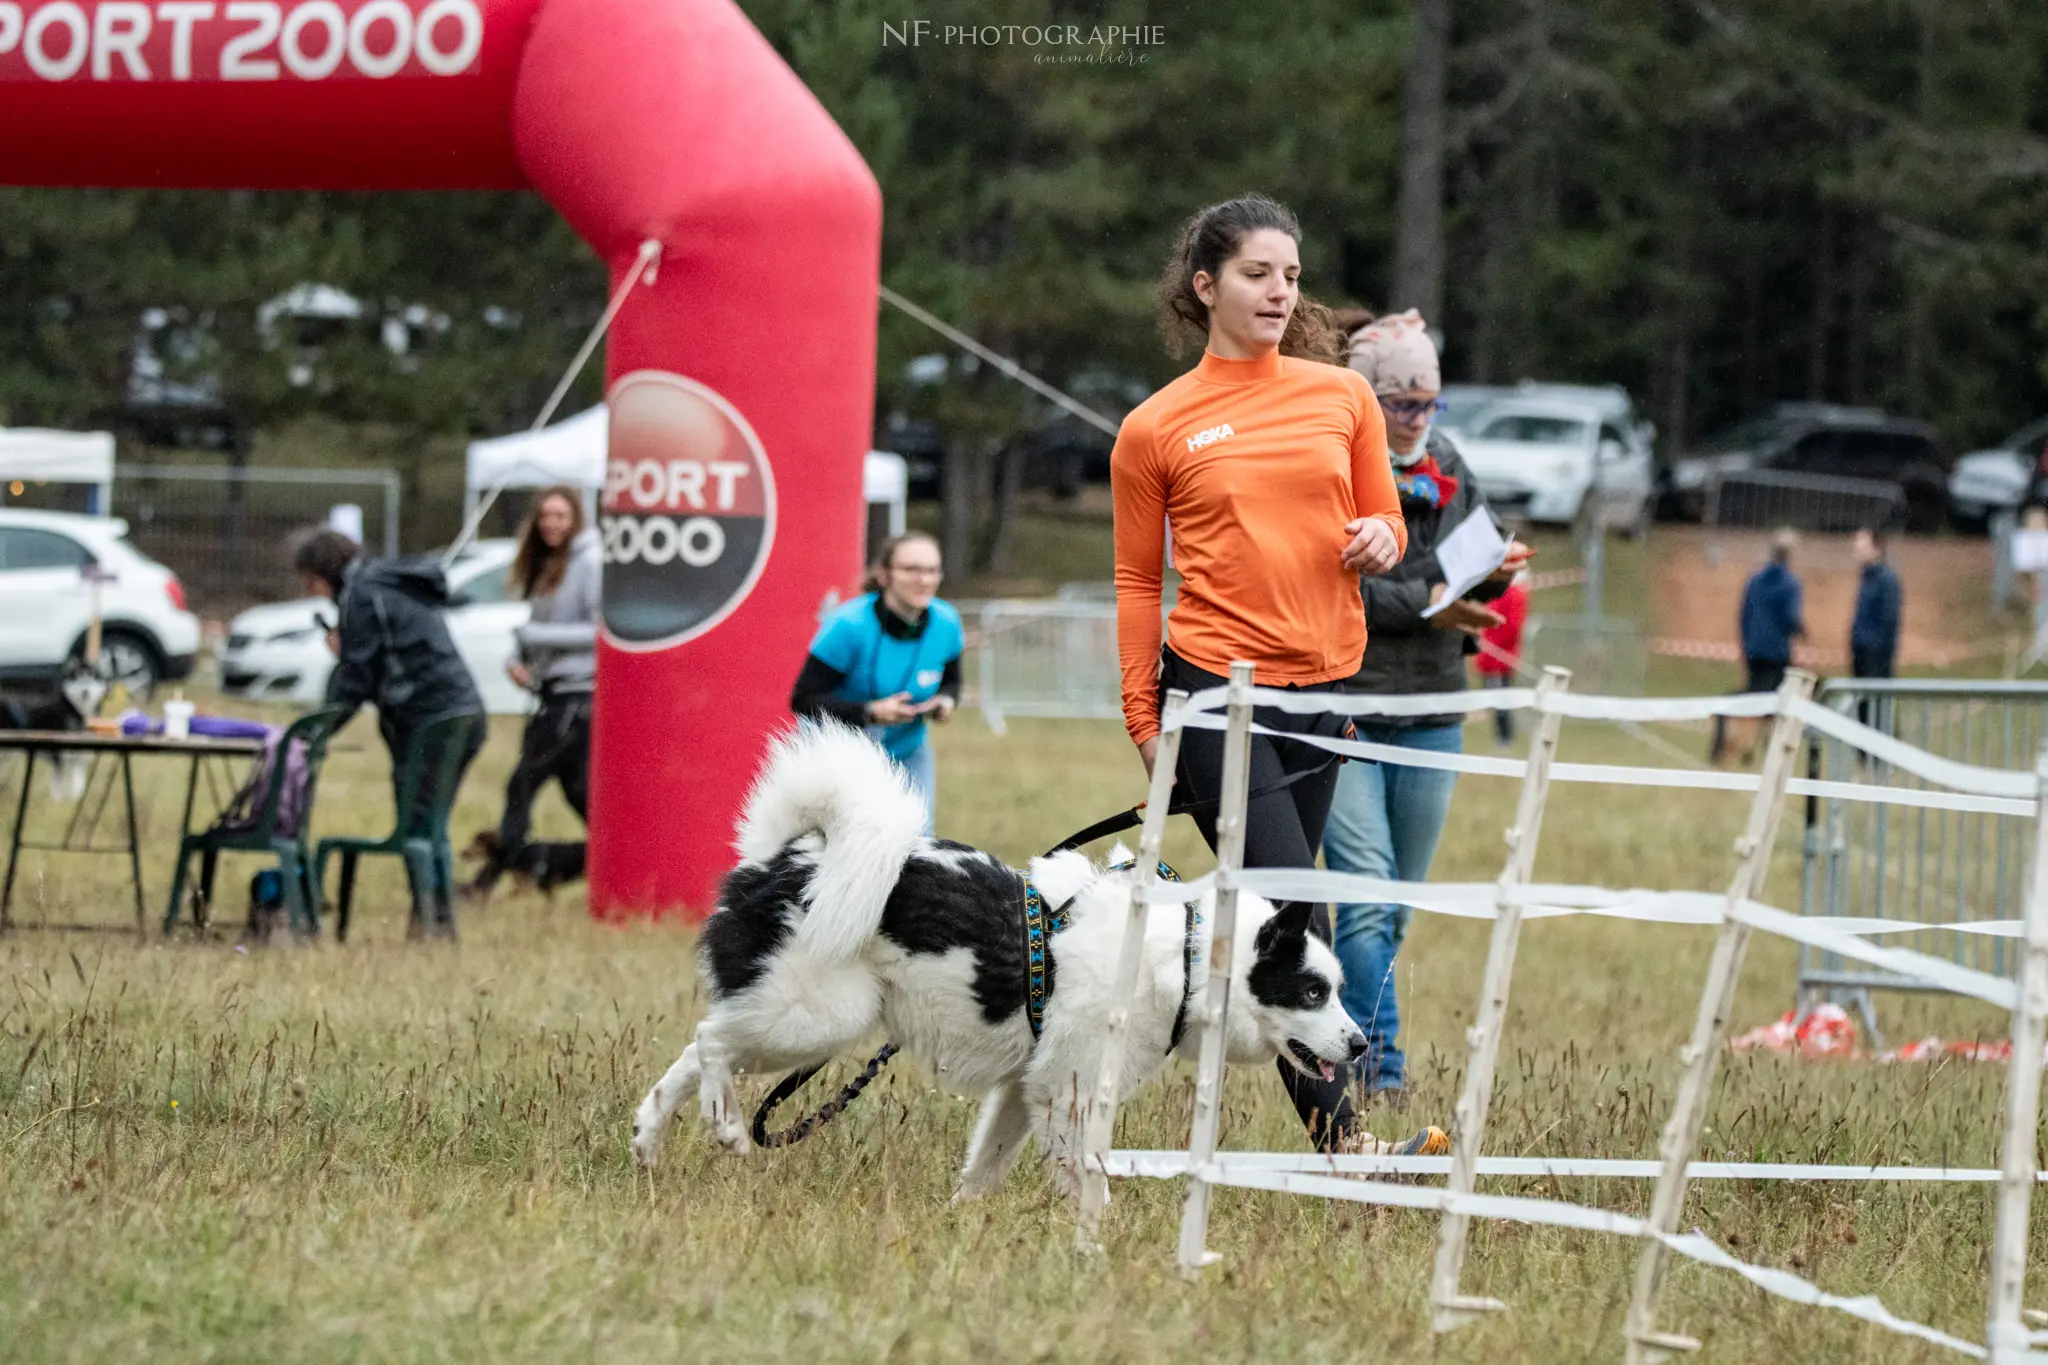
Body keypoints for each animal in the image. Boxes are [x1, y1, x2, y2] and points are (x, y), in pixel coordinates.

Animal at [634, 720, 1376, 1203]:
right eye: (1313, 991)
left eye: (1334, 989)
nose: (1361, 1044)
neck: (1188, 955)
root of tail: (783, 857)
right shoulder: (1068, 1094)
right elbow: (1088, 1185)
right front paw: (1093, 1259)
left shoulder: (1027, 1089)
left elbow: (982, 1172)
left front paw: (962, 1228)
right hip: (819, 1018)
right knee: (711, 1040)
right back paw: (727, 1123)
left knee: (693, 1054)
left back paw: (647, 1138)